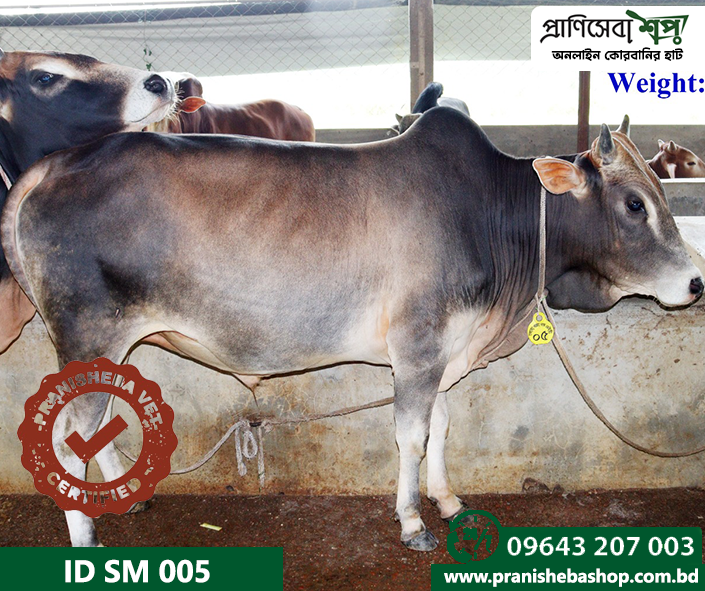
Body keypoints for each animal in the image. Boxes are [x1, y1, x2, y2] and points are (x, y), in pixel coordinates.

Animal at [2, 108, 702, 549]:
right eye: (634, 204)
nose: (696, 283)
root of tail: (58, 162)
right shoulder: (418, 347)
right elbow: (411, 437)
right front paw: (413, 523)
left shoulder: (445, 353)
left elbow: (443, 425)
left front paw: (448, 501)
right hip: (88, 332)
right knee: (66, 433)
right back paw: (87, 535)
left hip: (109, 343)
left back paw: (125, 498)